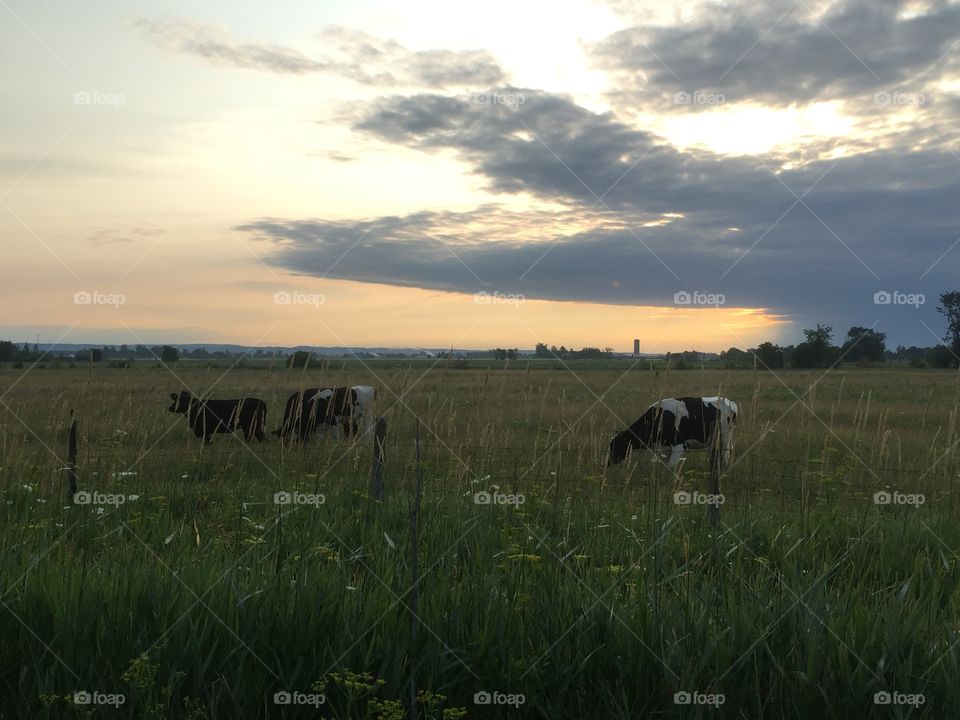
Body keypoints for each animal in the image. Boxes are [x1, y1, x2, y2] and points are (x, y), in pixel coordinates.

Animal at [607, 396, 738, 471]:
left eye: (616, 446)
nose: (607, 464)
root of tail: (729, 401)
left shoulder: (680, 444)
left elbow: (671, 467)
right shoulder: (665, 448)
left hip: (725, 437)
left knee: (725, 457)